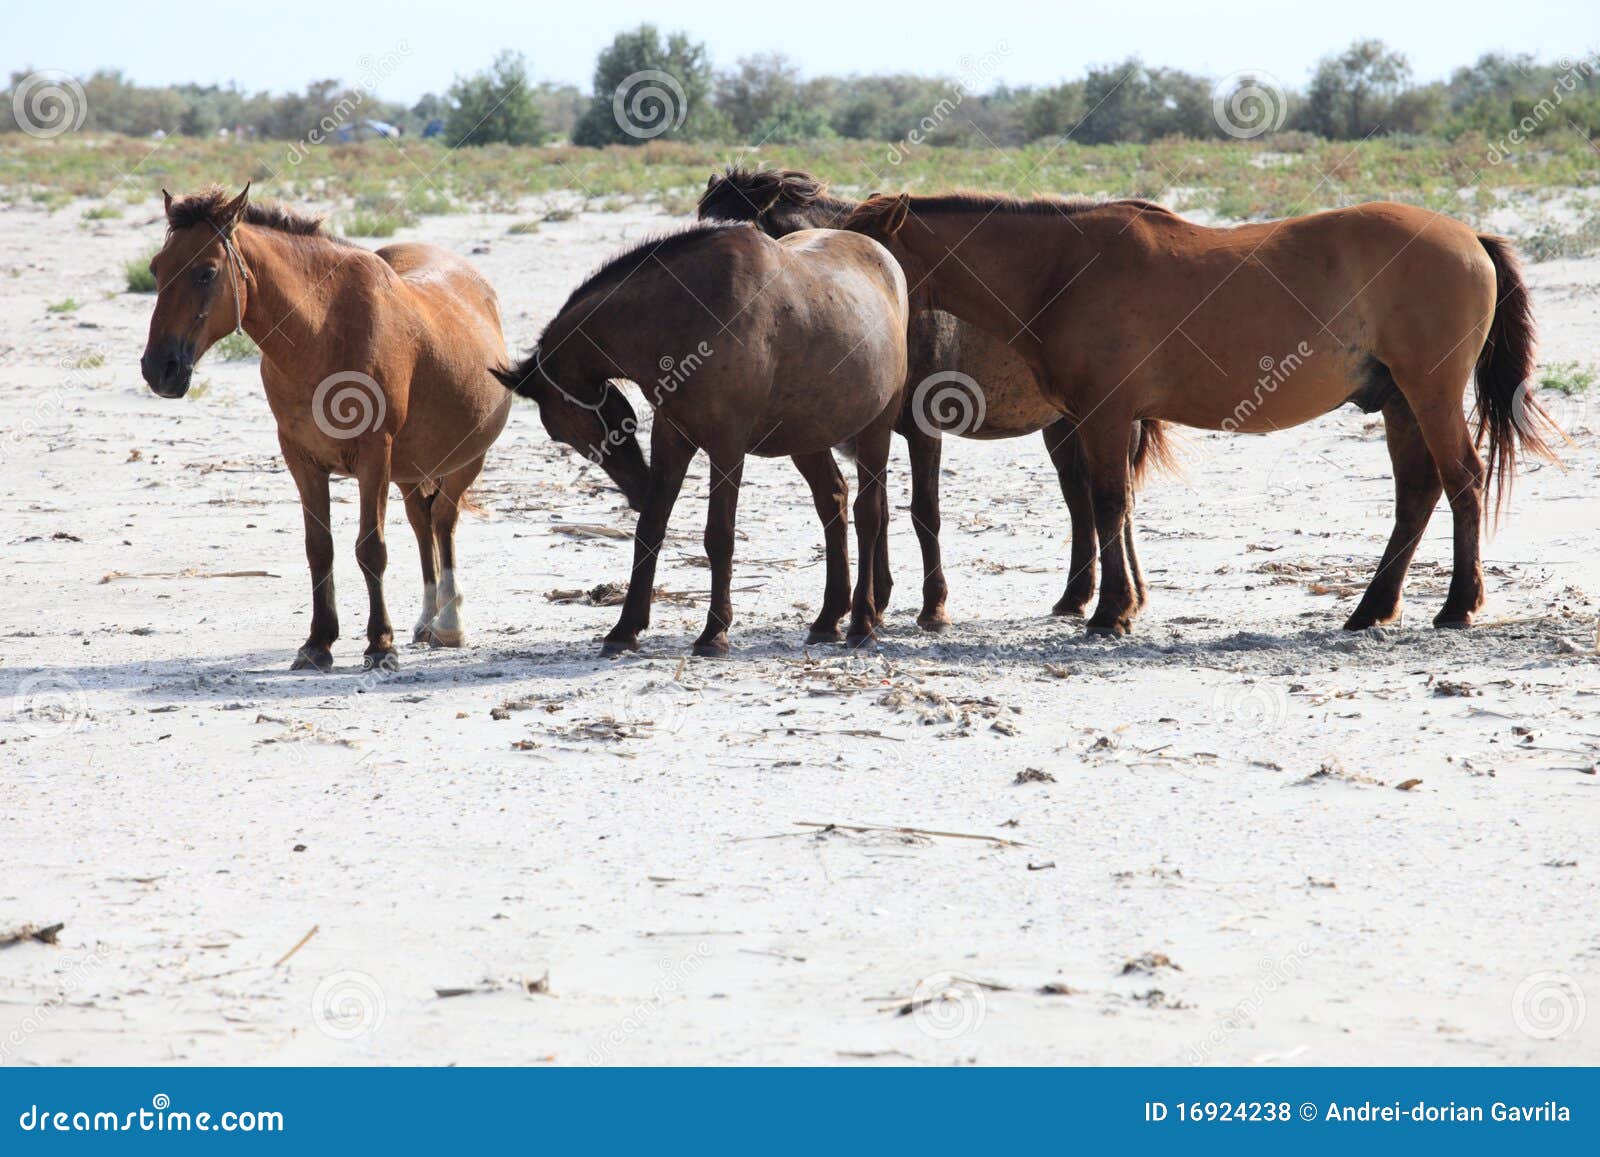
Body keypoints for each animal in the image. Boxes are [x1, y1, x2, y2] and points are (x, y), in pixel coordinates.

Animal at [140, 184, 513, 671]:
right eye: (156, 268)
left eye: (206, 273)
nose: (158, 369)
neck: (324, 332)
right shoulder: (301, 459)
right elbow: (320, 549)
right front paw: (318, 643)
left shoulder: (374, 457)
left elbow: (371, 548)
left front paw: (380, 645)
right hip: (410, 471)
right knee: (422, 522)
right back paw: (427, 620)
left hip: (465, 461)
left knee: (444, 521)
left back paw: (449, 624)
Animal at [492, 221, 909, 656]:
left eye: (558, 430)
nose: (636, 486)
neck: (687, 316)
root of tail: (884, 258)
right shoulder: (672, 437)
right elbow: (650, 528)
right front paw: (625, 628)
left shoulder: (727, 447)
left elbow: (719, 535)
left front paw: (714, 631)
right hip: (808, 439)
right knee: (833, 502)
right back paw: (828, 618)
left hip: (875, 430)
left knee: (869, 515)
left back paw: (862, 622)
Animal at [699, 168, 1173, 627]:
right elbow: (879, 506)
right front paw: (878, 599)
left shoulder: (924, 429)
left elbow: (924, 512)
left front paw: (933, 607)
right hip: (1062, 427)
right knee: (1079, 499)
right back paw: (1075, 597)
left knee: (1116, 500)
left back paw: (1128, 596)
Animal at [838, 190, 1558, 636]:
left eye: (869, 253)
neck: (1060, 270)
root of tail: (1469, 236)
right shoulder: (1108, 420)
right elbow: (1118, 507)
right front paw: (1124, 604)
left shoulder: (1103, 416)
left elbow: (1106, 504)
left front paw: (1110, 613)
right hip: (1401, 404)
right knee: (1417, 494)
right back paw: (1372, 609)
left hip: (1429, 394)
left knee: (1461, 482)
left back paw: (1457, 605)